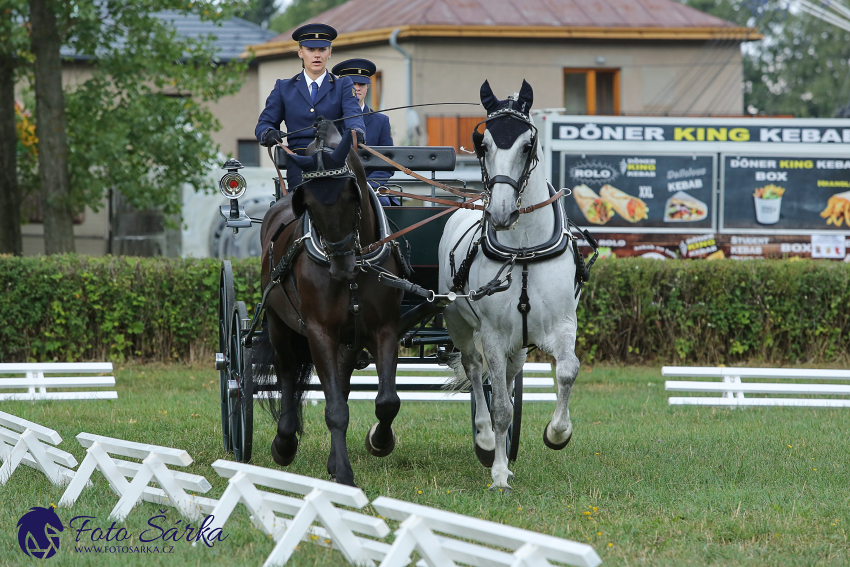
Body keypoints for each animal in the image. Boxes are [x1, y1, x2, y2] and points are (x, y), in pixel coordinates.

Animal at [253, 120, 402, 488]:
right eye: (307, 203)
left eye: (352, 193)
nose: (340, 265)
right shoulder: (319, 332)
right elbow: (334, 409)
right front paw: (345, 475)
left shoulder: (385, 328)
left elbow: (386, 400)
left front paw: (380, 441)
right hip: (279, 323)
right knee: (287, 373)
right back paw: (284, 442)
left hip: (348, 339)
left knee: (343, 383)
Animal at [438, 81, 584, 492]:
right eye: (482, 143)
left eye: (527, 144)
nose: (501, 212)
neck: (523, 250)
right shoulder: (492, 334)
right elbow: (501, 406)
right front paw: (499, 472)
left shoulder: (563, 325)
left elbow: (567, 370)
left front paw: (557, 433)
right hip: (460, 325)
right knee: (475, 372)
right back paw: (487, 439)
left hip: (519, 343)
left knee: (507, 374)